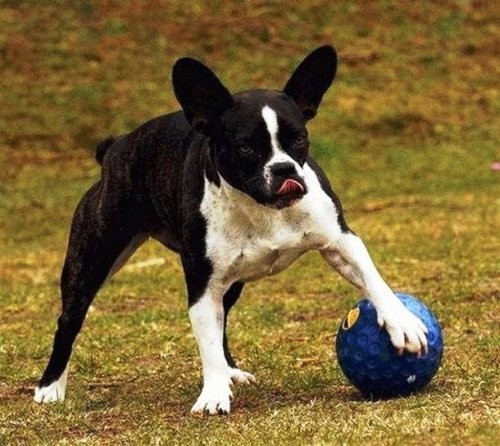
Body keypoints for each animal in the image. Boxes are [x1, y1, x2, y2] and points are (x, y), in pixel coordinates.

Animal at [34, 46, 426, 414]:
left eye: (299, 140)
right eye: (246, 147)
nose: (284, 169)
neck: (263, 208)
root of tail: (115, 147)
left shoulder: (339, 240)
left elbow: (372, 278)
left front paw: (402, 321)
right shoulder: (202, 285)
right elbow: (207, 340)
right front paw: (213, 395)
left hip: (231, 280)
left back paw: (231, 370)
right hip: (94, 257)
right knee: (69, 320)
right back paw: (49, 387)